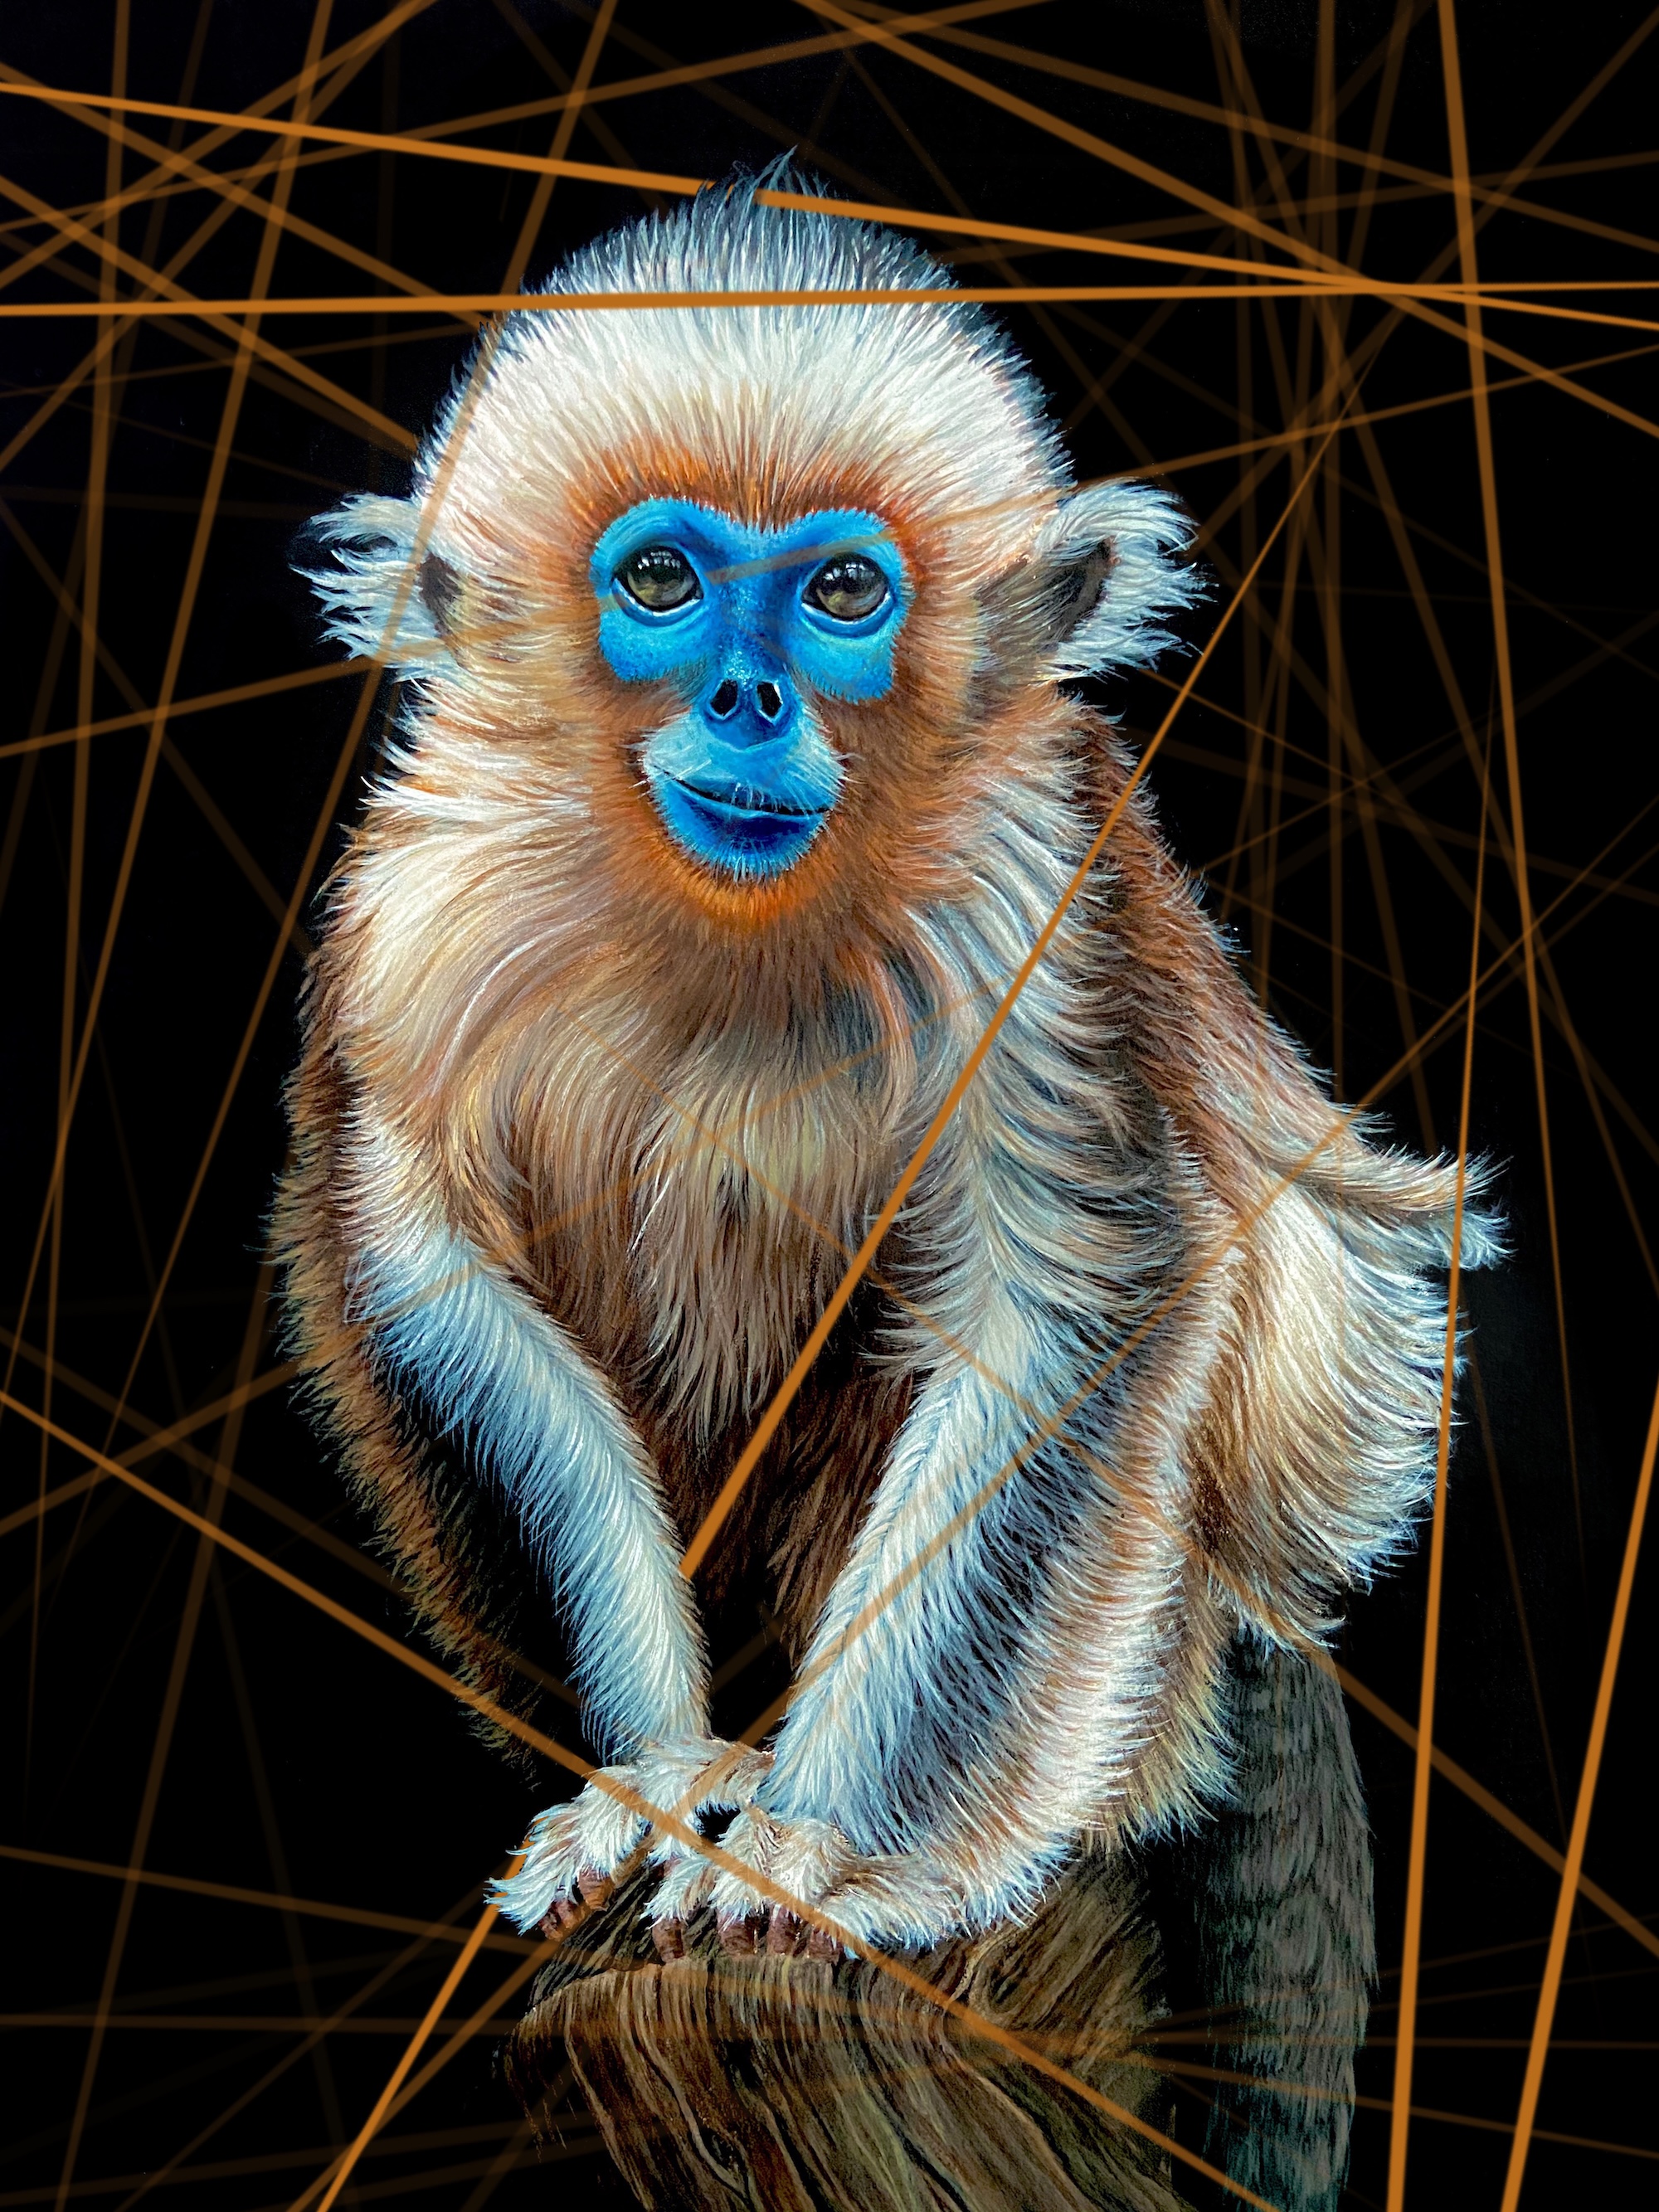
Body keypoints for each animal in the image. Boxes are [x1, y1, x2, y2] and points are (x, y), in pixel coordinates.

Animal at [277, 173, 1496, 2212]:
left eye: (843, 593)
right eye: (663, 582)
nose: (754, 693)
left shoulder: (1036, 884)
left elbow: (1070, 1313)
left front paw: (832, 1853)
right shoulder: (412, 903)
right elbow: (425, 1261)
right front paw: (653, 1774)